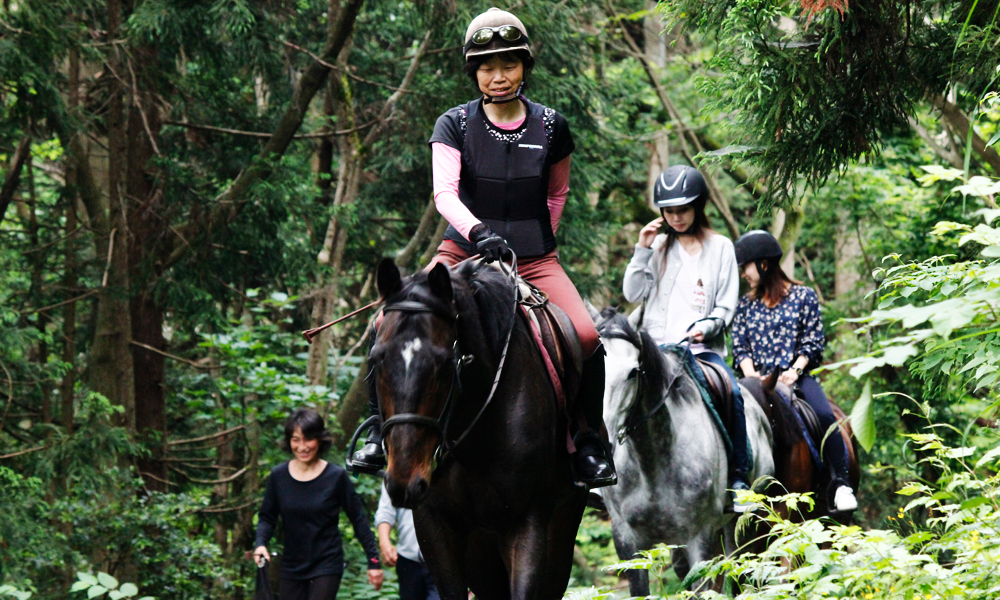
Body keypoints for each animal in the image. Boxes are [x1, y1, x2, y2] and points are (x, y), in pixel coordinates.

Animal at [372, 260, 588, 600]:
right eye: (376, 359)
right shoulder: (434, 523)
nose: (404, 482)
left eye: (445, 364)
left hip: (560, 526)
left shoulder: (527, 522)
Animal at [592, 312, 772, 592]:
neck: (650, 463)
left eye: (633, 372)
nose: (604, 442)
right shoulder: (627, 543)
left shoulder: (699, 539)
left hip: (747, 520)